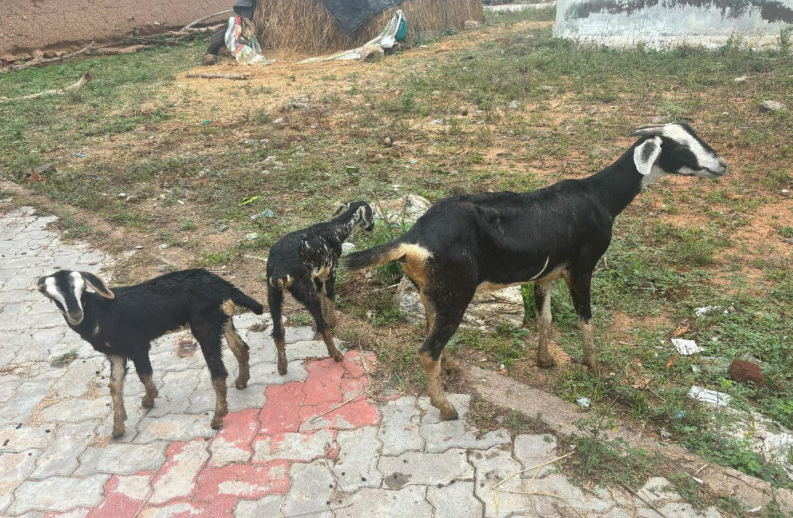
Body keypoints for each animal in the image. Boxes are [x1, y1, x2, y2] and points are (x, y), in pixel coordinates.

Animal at [37, 269, 264, 438]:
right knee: (240, 348)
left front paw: (149, 398)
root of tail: (222, 285)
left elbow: (143, 373)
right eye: (53, 296)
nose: (76, 314)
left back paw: (217, 418)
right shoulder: (116, 352)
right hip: (221, 318)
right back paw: (241, 381)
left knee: (218, 372)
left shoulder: (136, 344)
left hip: (204, 326)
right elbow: (114, 385)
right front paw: (118, 428)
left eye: (82, 289)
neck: (99, 313)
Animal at [266, 201, 374, 375]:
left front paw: (327, 315)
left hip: (273, 296)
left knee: (278, 332)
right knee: (321, 326)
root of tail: (279, 271)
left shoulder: (317, 273)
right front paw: (332, 320)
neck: (335, 228)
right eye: (373, 213)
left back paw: (282, 366)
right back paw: (336, 354)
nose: (372, 227)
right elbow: (330, 297)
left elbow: (322, 294)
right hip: (306, 292)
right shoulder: (331, 270)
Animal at [344, 123, 727, 420]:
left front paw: (544, 360)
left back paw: (450, 368)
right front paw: (593, 366)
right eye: (680, 146)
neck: (599, 196)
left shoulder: (545, 276)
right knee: (427, 350)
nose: (721, 165)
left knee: (429, 331)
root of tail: (414, 239)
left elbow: (545, 318)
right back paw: (446, 406)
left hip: (432, 292)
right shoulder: (582, 268)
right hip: (456, 293)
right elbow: (585, 318)